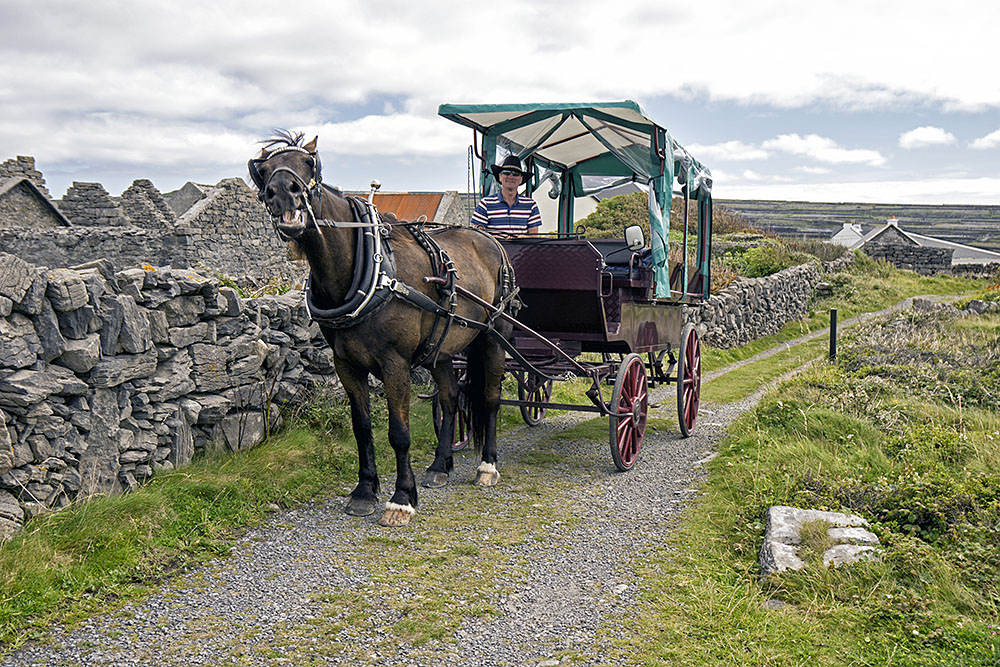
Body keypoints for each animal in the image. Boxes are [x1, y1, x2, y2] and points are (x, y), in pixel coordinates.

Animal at [249, 130, 516, 528]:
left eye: (309, 163)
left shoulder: (395, 364)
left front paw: (401, 498)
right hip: (442, 346)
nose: (282, 192)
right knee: (450, 398)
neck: (368, 272)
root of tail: (490, 240)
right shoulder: (346, 365)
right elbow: (362, 428)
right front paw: (364, 491)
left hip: (493, 335)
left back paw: (487, 466)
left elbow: (399, 433)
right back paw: (440, 466)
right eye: (263, 171)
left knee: (490, 398)